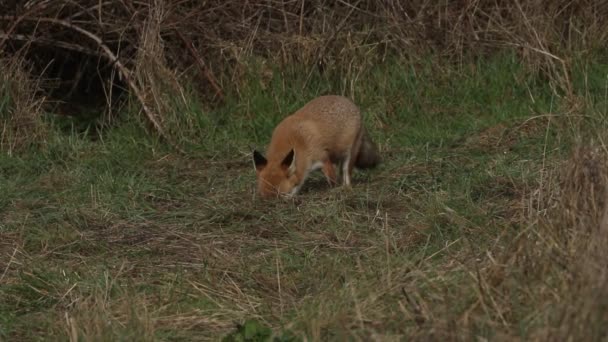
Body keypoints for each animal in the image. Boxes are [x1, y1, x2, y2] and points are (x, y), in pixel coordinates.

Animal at [252, 95, 380, 199]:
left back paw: (346, 188)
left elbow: (332, 180)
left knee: (346, 173)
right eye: (263, 197)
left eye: (282, 195)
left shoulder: (323, 158)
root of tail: (352, 104)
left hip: (349, 154)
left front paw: (334, 192)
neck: (296, 141)